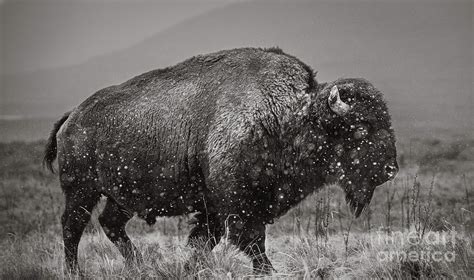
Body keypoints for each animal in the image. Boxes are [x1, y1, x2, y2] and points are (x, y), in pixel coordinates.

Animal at [44, 47, 398, 274]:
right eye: (360, 128)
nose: (390, 170)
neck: (290, 116)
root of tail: (72, 117)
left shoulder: (214, 208)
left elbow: (204, 241)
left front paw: (189, 269)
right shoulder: (236, 206)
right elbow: (251, 242)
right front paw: (267, 271)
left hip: (122, 196)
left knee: (110, 223)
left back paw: (138, 265)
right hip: (81, 191)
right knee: (72, 227)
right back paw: (74, 271)